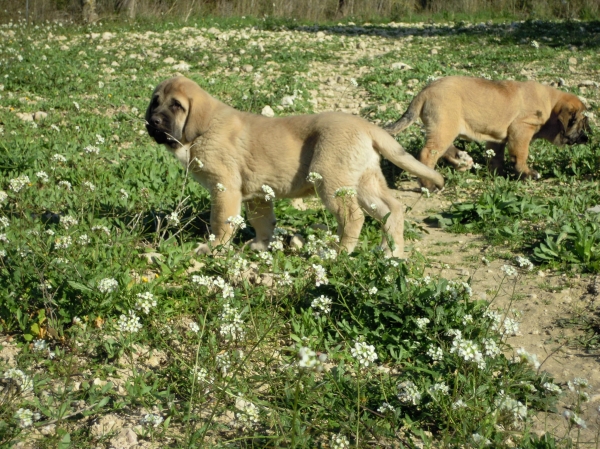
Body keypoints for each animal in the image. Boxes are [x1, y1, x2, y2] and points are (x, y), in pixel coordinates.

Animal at [146, 76, 446, 256]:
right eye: (155, 102)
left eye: (176, 106)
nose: (153, 122)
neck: (202, 130)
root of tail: (366, 126)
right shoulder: (257, 194)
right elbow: (262, 221)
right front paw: (260, 245)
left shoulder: (224, 188)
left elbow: (221, 221)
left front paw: (214, 248)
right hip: (365, 182)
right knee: (391, 209)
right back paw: (391, 252)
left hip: (332, 181)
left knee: (354, 217)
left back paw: (339, 252)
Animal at [384, 76, 592, 188]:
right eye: (581, 121)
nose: (587, 138)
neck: (550, 105)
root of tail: (423, 92)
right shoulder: (522, 129)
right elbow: (521, 154)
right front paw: (526, 173)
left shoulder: (497, 139)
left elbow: (496, 158)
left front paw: (497, 174)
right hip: (445, 126)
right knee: (428, 154)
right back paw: (429, 184)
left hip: (443, 128)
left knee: (441, 150)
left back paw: (462, 160)